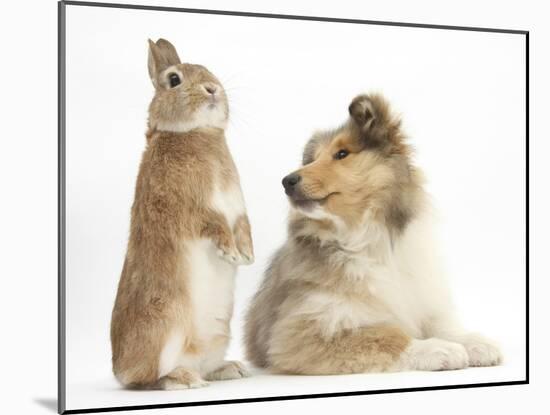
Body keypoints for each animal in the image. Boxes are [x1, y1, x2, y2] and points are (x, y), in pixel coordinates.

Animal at [110, 38, 256, 390]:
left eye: (207, 70)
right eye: (174, 80)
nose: (213, 88)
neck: (197, 133)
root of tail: (119, 370)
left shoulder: (238, 208)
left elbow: (243, 225)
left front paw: (247, 256)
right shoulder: (191, 208)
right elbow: (215, 224)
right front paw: (231, 253)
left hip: (219, 332)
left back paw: (231, 369)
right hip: (164, 327)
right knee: (146, 379)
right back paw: (183, 379)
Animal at [246, 95, 504, 376]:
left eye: (342, 154)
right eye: (312, 159)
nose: (287, 181)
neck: (365, 236)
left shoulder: (420, 299)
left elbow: (443, 326)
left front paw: (475, 342)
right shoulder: (300, 331)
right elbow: (388, 336)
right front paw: (438, 349)